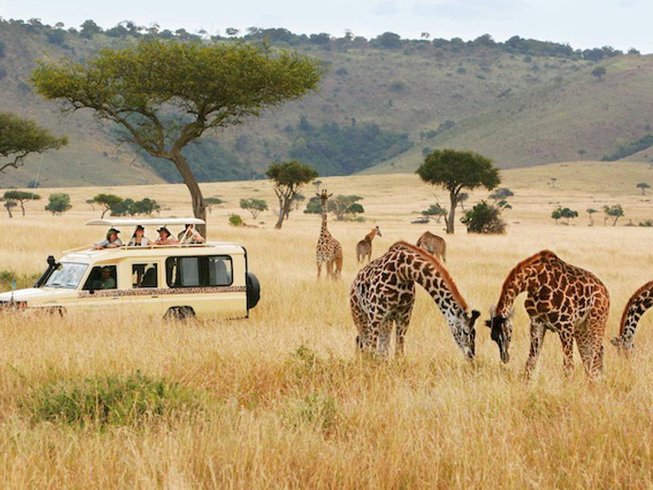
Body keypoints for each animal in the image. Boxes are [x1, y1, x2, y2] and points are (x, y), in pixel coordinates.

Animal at [350, 241, 479, 359]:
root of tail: (354, 281)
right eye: (466, 332)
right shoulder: (375, 315)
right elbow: (372, 351)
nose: (471, 355)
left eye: (474, 333)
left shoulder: (404, 317)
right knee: (363, 343)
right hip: (360, 316)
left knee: (381, 350)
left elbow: (398, 353)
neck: (403, 272)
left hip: (386, 321)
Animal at [486, 250, 610, 380]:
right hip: (580, 327)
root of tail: (605, 292)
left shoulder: (565, 324)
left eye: (505, 335)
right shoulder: (537, 322)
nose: (505, 358)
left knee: (595, 354)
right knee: (591, 354)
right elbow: (531, 362)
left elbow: (568, 366)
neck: (536, 283)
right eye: (493, 338)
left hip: (596, 321)